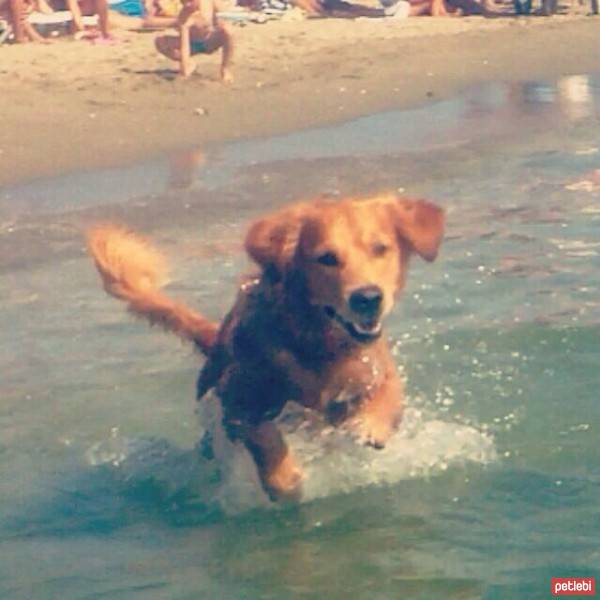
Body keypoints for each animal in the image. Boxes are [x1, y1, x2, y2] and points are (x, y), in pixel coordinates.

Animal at [89, 196, 446, 502]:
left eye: (380, 248)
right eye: (327, 258)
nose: (368, 298)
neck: (317, 342)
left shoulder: (377, 369)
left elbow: (389, 397)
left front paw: (369, 425)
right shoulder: (235, 398)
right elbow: (264, 436)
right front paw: (285, 481)